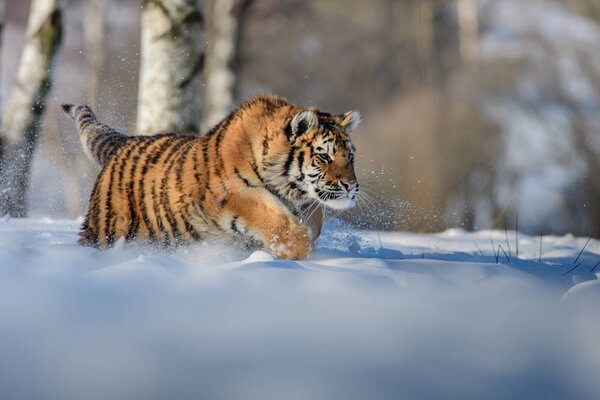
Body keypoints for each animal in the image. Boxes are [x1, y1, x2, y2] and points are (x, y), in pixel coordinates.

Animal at [62, 95, 360, 260]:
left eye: (350, 156)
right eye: (325, 156)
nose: (351, 185)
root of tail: (124, 142)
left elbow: (312, 219)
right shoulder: (233, 193)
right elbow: (276, 219)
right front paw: (296, 251)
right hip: (109, 230)